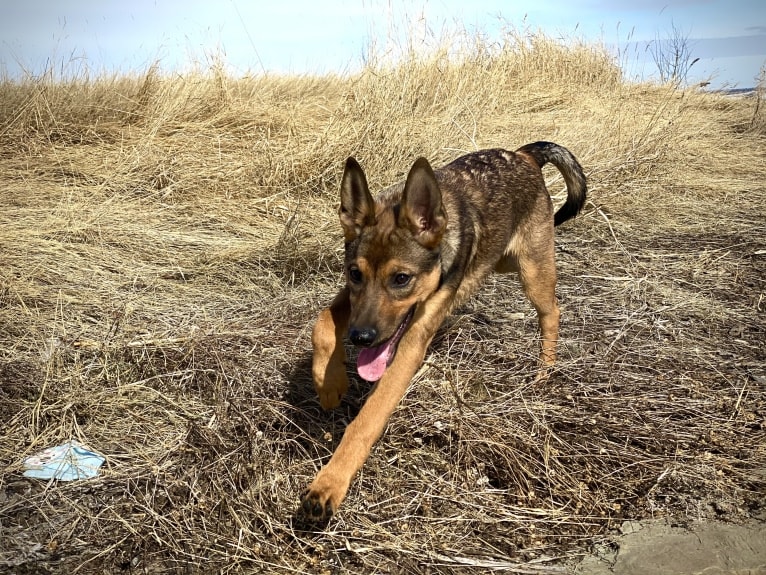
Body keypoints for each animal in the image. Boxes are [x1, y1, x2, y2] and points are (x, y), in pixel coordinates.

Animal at [300, 141, 588, 520]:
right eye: (355, 273)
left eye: (401, 279)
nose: (360, 338)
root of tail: (524, 154)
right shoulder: (350, 299)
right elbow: (322, 323)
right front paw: (328, 384)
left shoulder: (411, 344)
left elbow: (368, 419)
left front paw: (330, 482)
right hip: (503, 261)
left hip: (532, 271)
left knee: (552, 311)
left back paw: (544, 371)